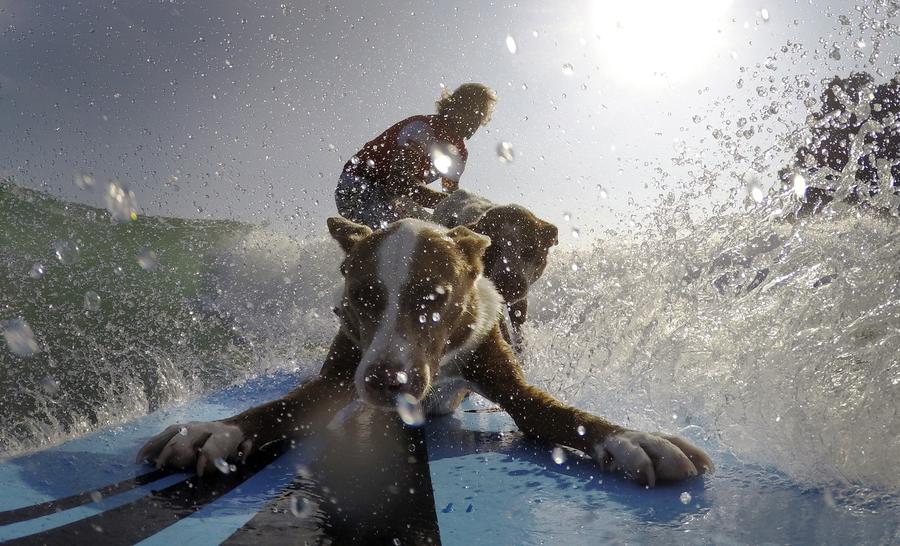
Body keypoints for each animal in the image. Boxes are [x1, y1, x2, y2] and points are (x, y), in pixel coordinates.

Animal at [135, 217, 712, 484]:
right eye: (362, 297)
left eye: (435, 299)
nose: (386, 382)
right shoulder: (339, 375)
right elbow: (281, 407)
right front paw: (213, 429)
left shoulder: (508, 381)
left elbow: (560, 414)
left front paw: (634, 438)